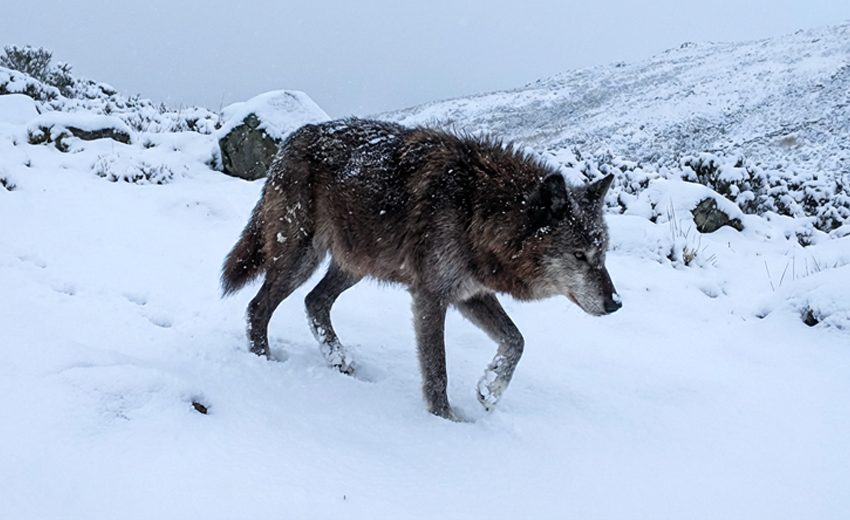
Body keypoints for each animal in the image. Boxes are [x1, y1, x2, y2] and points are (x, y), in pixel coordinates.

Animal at [221, 118, 621, 419]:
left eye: (602, 253)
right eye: (579, 255)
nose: (615, 303)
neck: (479, 209)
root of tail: (293, 137)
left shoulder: (471, 294)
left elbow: (517, 341)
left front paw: (489, 390)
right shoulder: (431, 296)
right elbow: (437, 369)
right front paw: (445, 419)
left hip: (356, 263)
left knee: (314, 301)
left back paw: (339, 361)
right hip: (301, 258)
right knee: (259, 306)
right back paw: (263, 362)